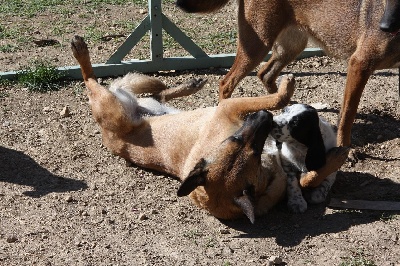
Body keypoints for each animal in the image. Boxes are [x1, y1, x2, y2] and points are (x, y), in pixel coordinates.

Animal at [71, 35, 300, 222]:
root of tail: (106, 137)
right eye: (234, 140)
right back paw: (80, 51)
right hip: (112, 106)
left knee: (158, 95)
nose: (265, 117)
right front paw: (285, 88)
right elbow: (276, 99)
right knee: (90, 80)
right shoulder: (228, 107)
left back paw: (190, 85)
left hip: (144, 104)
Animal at [177, 0, 400, 187]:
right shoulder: (359, 65)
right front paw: (346, 149)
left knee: (265, 74)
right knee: (227, 82)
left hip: (292, 45)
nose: (385, 26)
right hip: (258, 45)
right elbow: (347, 115)